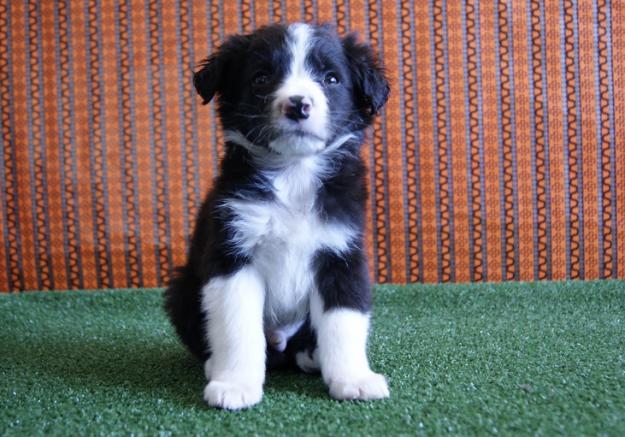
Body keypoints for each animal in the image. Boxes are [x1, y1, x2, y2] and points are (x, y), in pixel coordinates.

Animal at [166, 21, 390, 408]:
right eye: (261, 78)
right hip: (182, 289)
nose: (298, 105)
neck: (294, 173)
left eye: (331, 78)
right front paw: (236, 384)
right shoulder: (233, 254)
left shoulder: (341, 254)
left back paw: (313, 356)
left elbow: (344, 321)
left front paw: (354, 379)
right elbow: (238, 326)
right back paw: (215, 365)